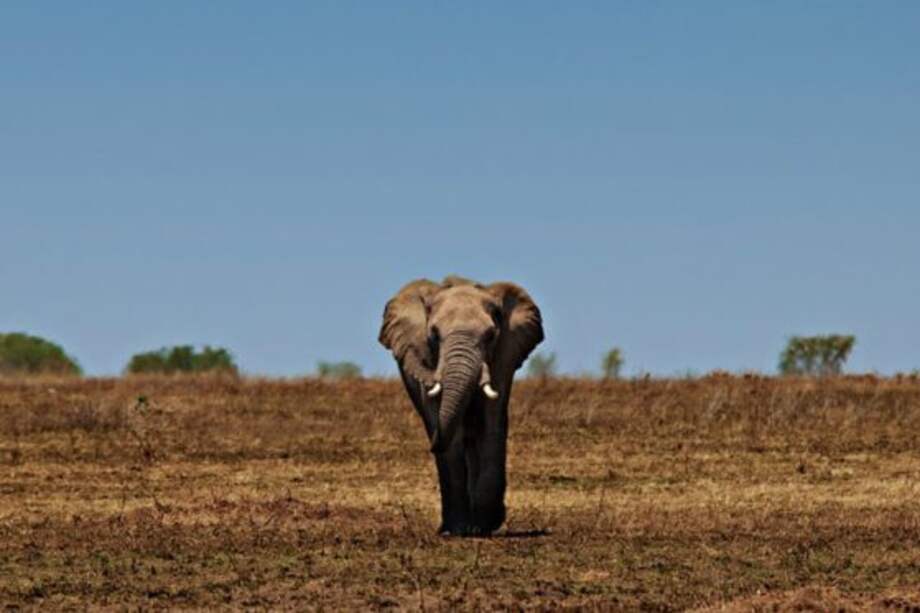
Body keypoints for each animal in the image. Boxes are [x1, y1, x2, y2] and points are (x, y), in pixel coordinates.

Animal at [379, 276, 544, 536]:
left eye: (491, 336)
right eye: (434, 335)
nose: (431, 445)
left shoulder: (502, 358)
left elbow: (491, 424)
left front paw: (485, 525)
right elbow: (447, 429)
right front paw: (457, 529)